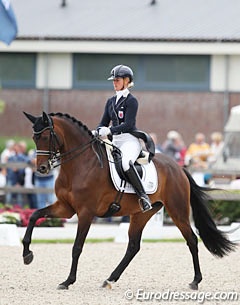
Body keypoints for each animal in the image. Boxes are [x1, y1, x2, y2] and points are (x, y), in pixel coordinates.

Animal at [22, 111, 234, 290]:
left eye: (46, 137)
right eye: (34, 138)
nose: (42, 169)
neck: (79, 166)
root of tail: (178, 168)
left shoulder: (85, 213)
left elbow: (77, 247)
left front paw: (68, 281)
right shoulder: (65, 208)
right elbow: (34, 216)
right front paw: (27, 255)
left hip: (178, 211)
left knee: (192, 240)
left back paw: (195, 281)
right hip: (141, 214)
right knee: (133, 246)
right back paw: (109, 279)